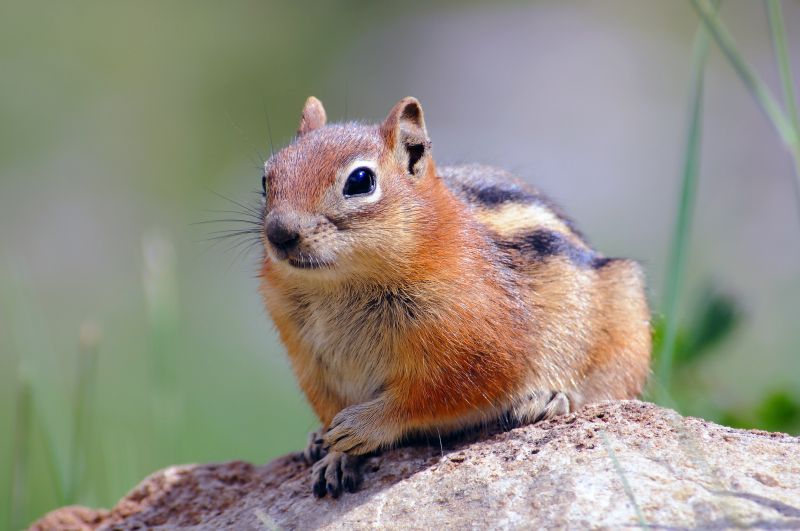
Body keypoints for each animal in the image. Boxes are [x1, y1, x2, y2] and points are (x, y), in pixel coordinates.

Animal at [258, 96, 651, 498]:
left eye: (360, 180)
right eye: (266, 179)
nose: (280, 233)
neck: (338, 286)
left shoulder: (480, 346)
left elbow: (434, 395)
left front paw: (364, 424)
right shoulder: (312, 363)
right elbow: (329, 407)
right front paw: (335, 456)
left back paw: (550, 400)